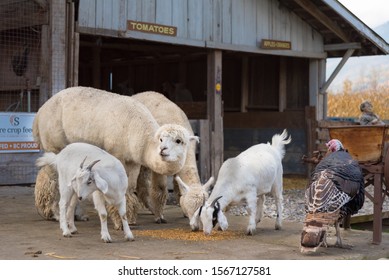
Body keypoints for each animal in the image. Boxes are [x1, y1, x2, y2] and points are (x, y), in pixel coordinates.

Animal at [31, 86, 199, 224]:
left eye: (179, 141)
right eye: (162, 139)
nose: (163, 150)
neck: (138, 132)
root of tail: (39, 113)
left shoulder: (132, 161)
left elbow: (129, 188)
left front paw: (129, 219)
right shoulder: (117, 155)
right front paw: (121, 219)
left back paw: (74, 215)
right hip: (55, 142)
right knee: (55, 178)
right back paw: (56, 214)